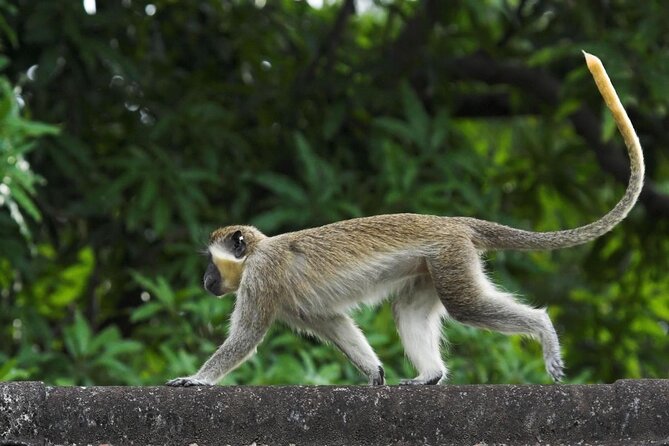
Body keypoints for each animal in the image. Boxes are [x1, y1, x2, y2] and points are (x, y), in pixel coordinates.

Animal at [166, 52, 640, 386]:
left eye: (210, 261)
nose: (206, 280)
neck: (259, 252)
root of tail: (455, 222)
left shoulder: (263, 278)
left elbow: (245, 339)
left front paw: (197, 379)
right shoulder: (292, 302)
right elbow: (334, 323)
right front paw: (375, 372)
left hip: (450, 257)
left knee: (466, 306)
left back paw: (542, 330)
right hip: (432, 266)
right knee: (408, 310)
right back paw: (429, 376)